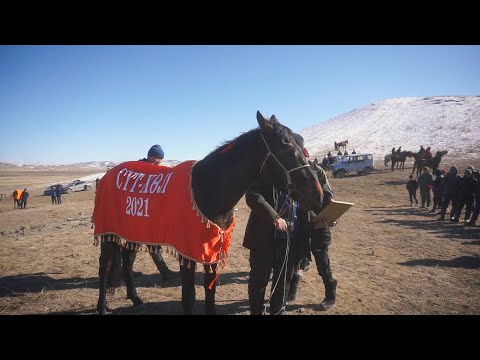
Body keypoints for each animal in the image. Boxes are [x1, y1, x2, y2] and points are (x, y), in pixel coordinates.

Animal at [93, 110, 322, 316]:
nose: (317, 195)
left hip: (133, 231)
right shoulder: (187, 251)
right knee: (105, 266)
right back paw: (102, 307)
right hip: (108, 232)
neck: (206, 188)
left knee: (127, 261)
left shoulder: (212, 245)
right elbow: (189, 296)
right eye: (286, 147)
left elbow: (209, 290)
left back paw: (135, 298)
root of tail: (108, 175)